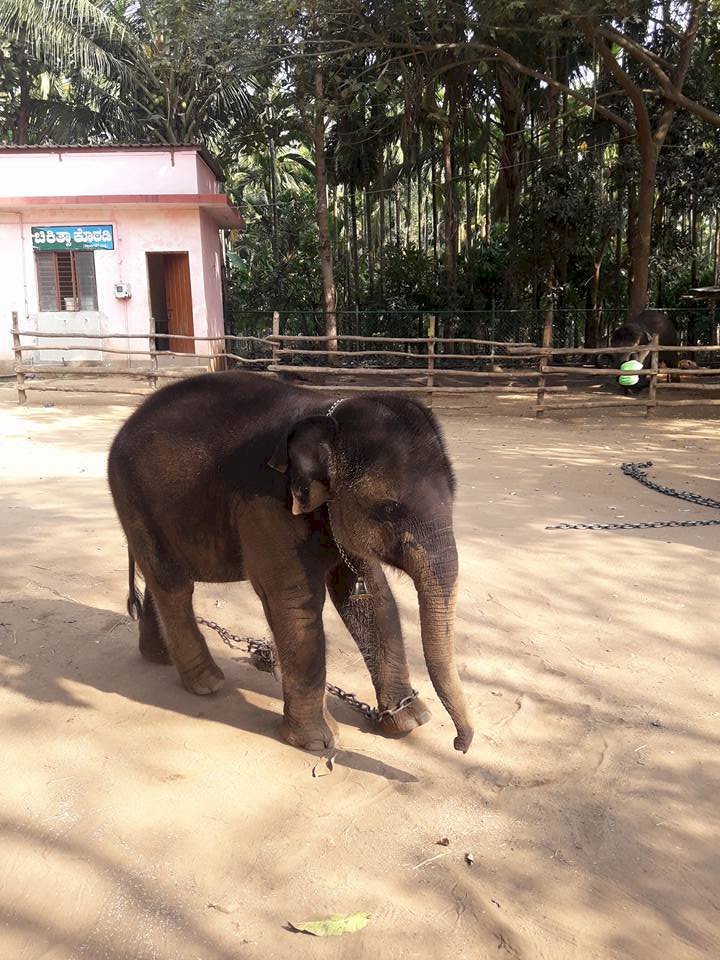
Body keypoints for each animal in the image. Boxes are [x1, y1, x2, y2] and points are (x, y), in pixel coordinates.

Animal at [107, 371, 474, 754]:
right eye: (389, 509)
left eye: (454, 493)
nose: (458, 744)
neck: (326, 418)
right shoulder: (266, 507)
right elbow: (295, 601)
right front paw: (318, 742)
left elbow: (370, 596)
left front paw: (409, 721)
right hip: (132, 497)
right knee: (173, 586)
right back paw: (207, 683)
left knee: (158, 577)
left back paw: (159, 658)